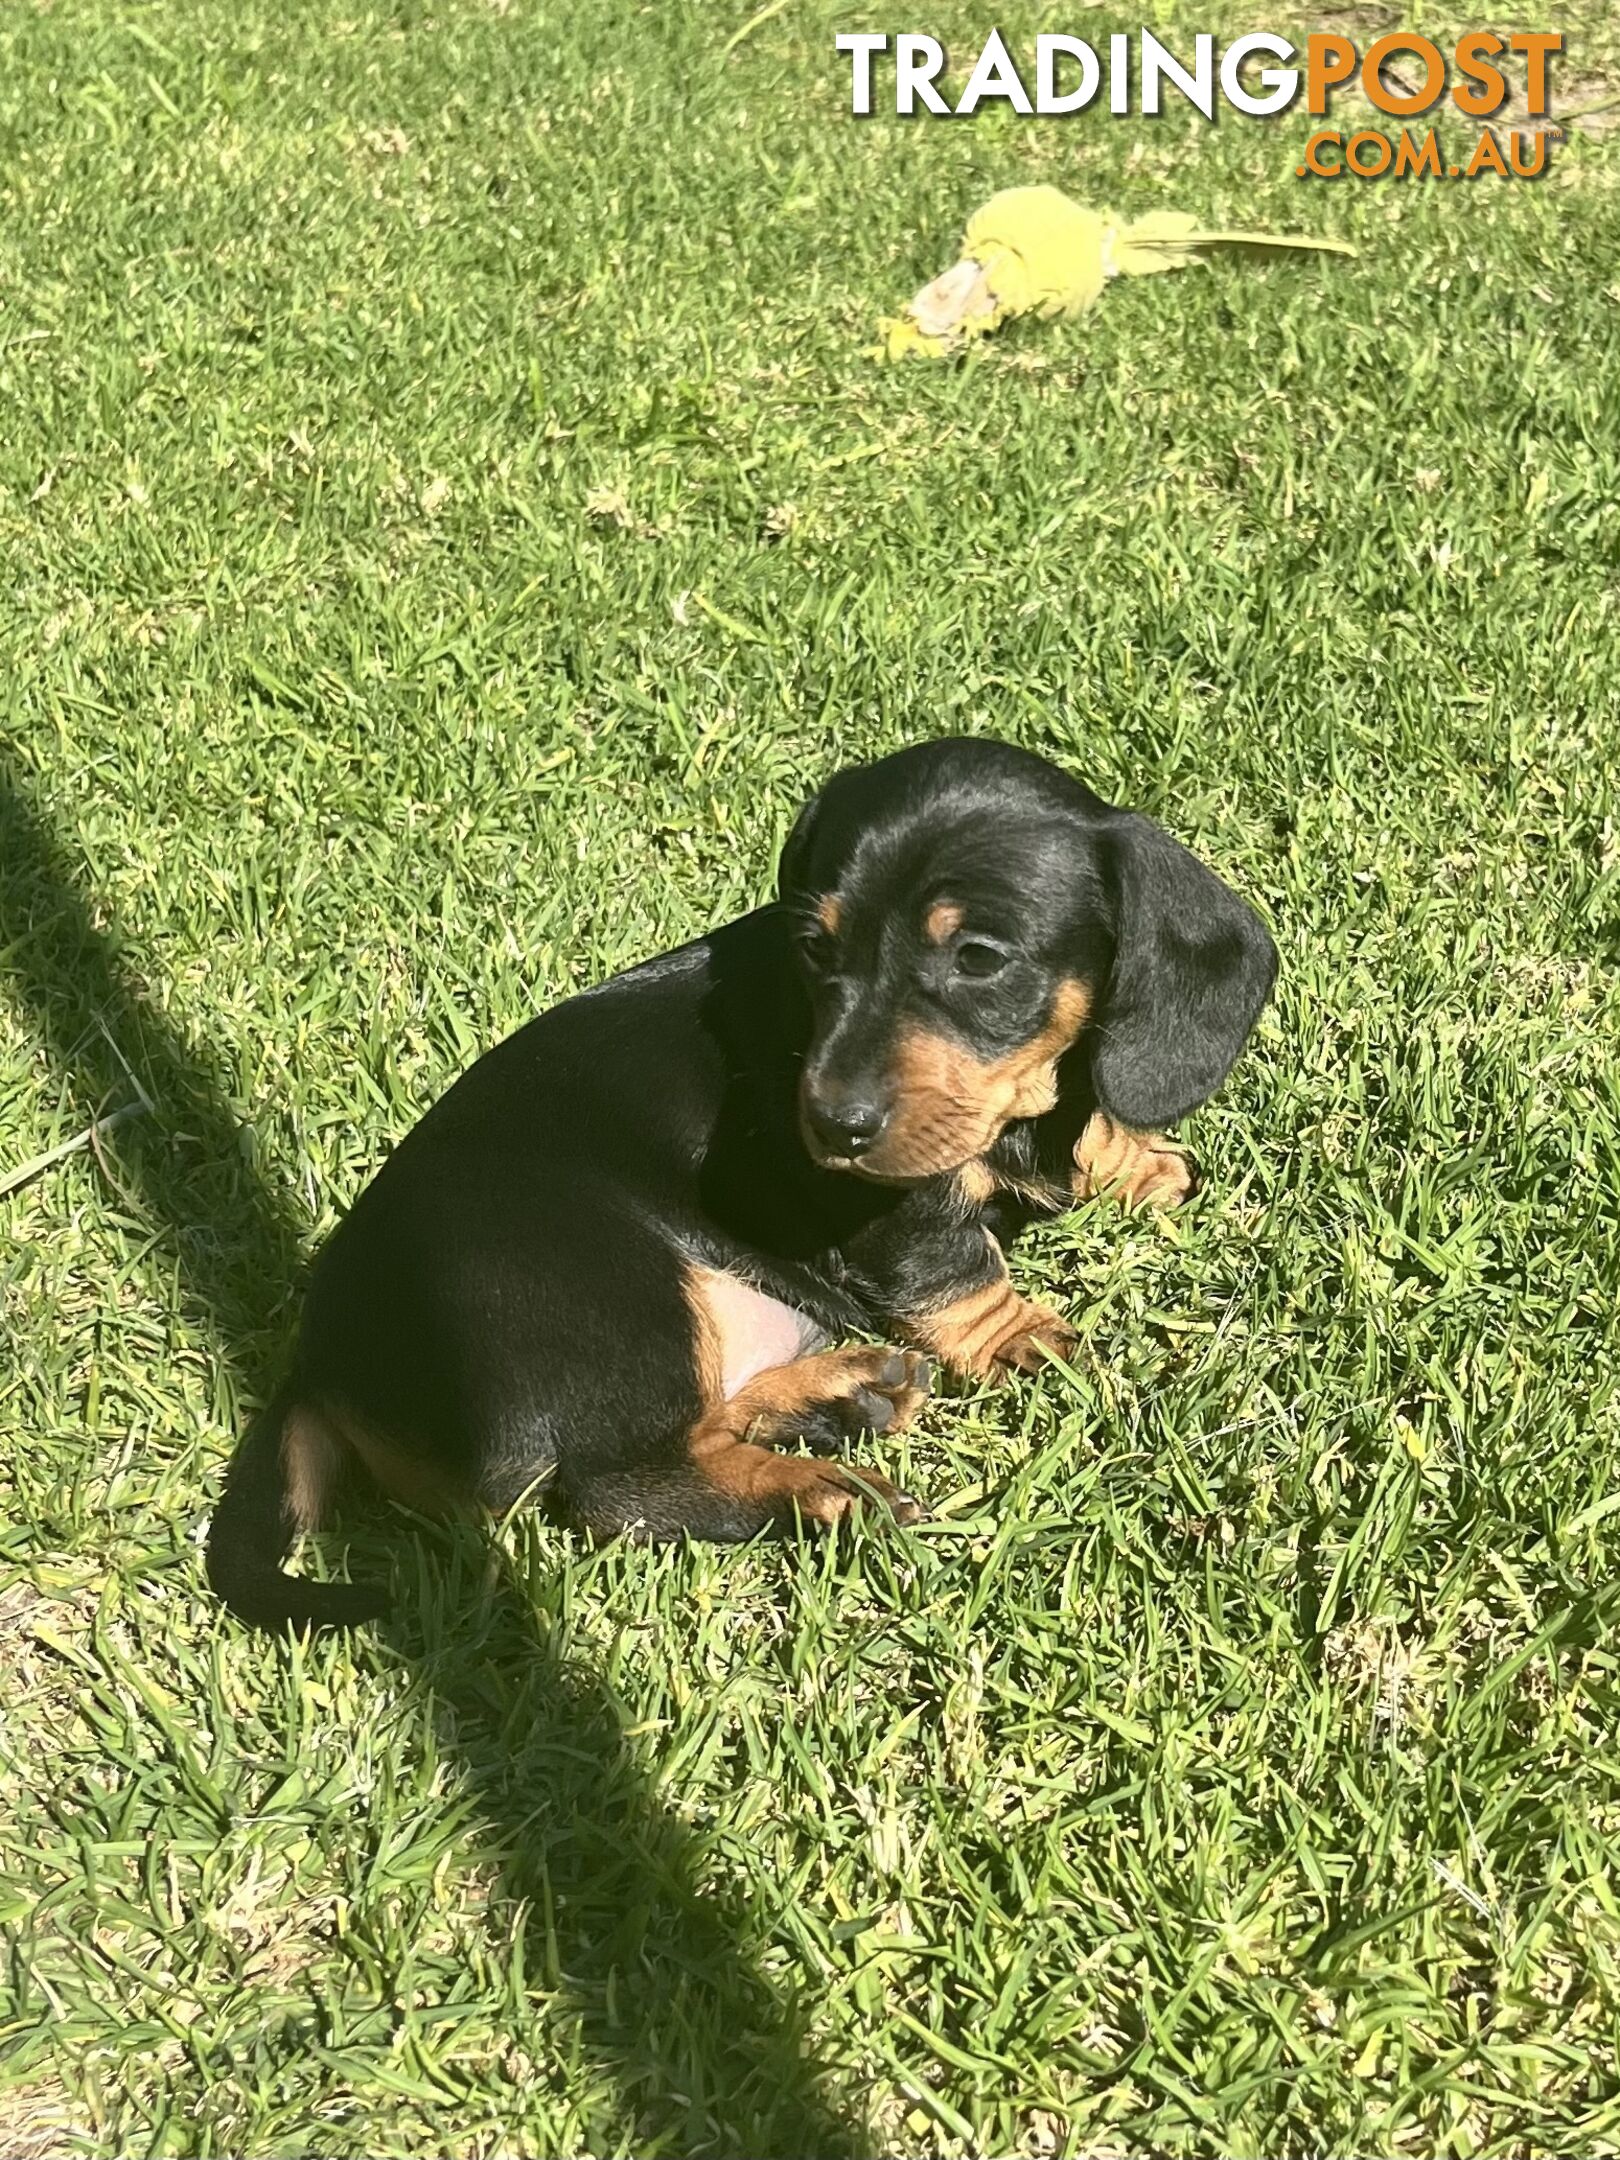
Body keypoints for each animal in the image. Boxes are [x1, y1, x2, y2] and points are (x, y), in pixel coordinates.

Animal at [209, 734, 1278, 1624]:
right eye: (816, 947)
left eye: (978, 957)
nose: (830, 1126)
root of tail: (317, 1361)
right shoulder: (895, 1208)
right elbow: (951, 1265)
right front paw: (1024, 1340)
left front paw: (1129, 1161)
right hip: (614, 1295)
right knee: (619, 1486)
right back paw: (818, 1490)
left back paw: (843, 1395)